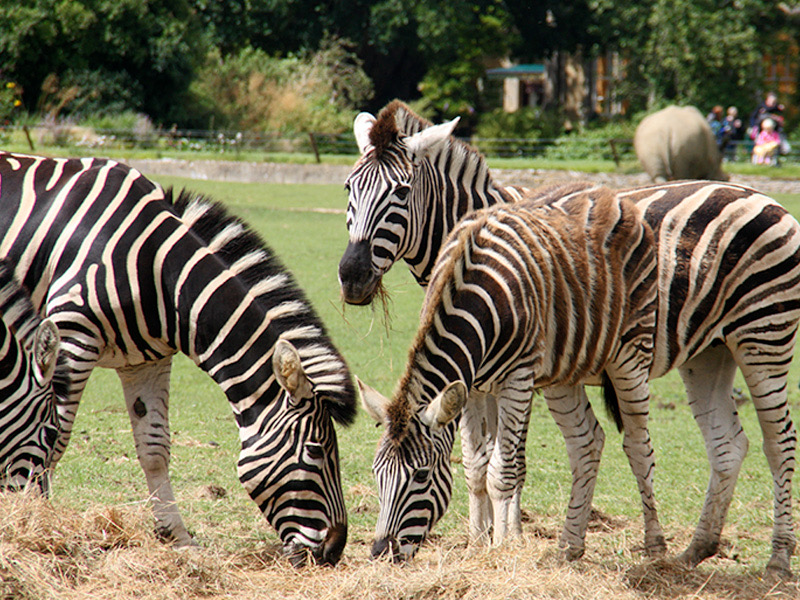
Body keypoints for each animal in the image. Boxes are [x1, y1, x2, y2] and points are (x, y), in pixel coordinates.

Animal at [358, 184, 664, 564]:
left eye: (421, 475)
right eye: (376, 473)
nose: (380, 553)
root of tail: (608, 192)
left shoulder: (516, 380)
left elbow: (500, 472)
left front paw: (503, 546)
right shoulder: (470, 387)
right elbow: (474, 468)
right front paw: (477, 543)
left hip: (631, 352)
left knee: (638, 445)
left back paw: (655, 546)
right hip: (565, 371)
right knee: (587, 442)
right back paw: (570, 546)